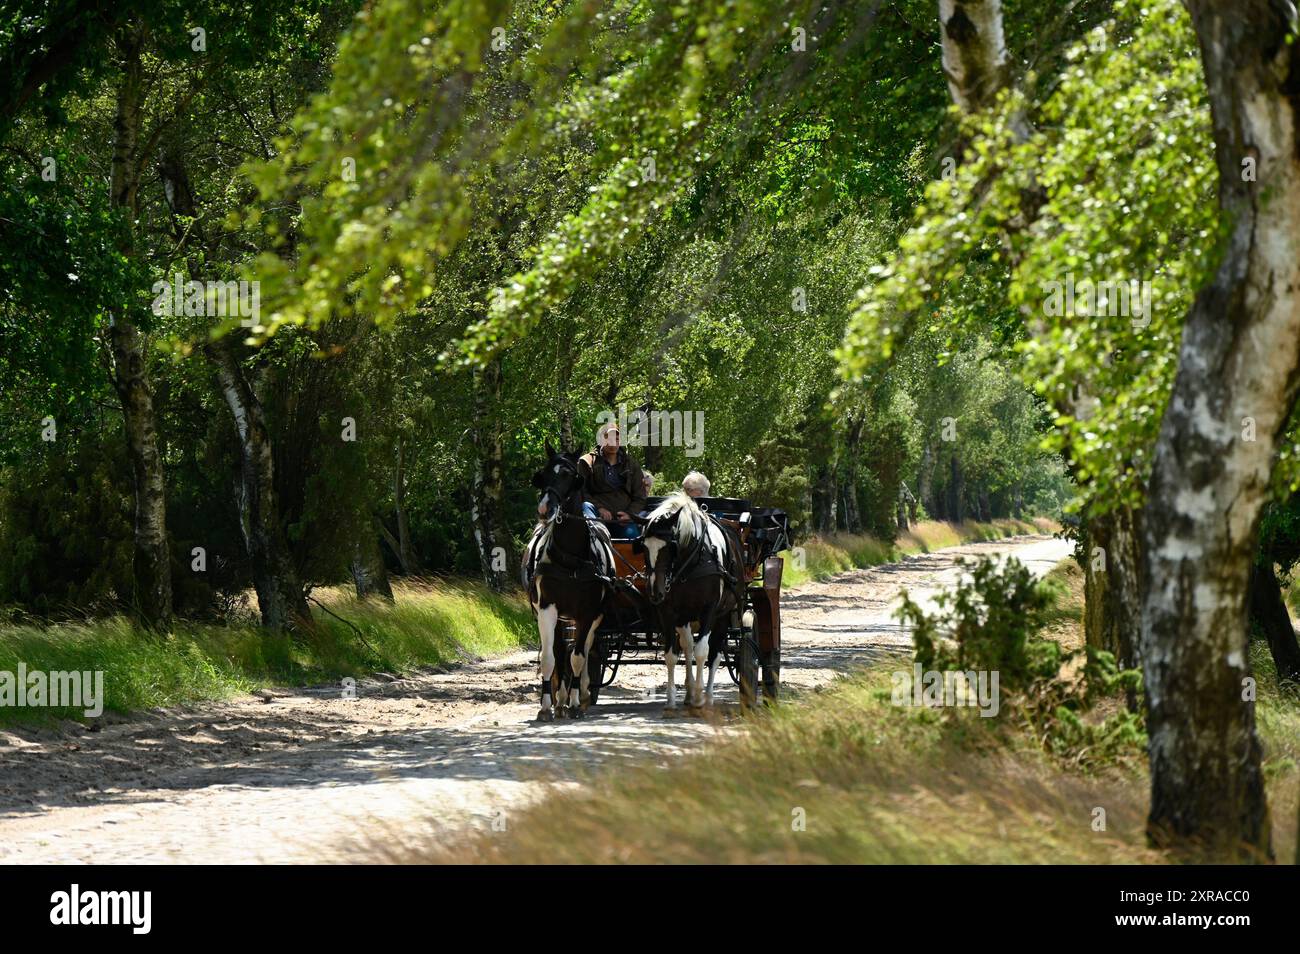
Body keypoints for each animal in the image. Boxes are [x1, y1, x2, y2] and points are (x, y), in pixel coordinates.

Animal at [520, 444, 616, 722]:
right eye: (543, 474)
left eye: (568, 475)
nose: (544, 509)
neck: (570, 558)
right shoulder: (546, 609)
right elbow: (551, 659)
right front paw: (546, 706)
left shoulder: (587, 613)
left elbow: (577, 658)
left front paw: (574, 702)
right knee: (562, 652)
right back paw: (560, 700)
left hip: (593, 619)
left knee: (583, 651)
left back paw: (579, 696)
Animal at [637, 493, 748, 712]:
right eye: (643, 547)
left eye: (670, 546)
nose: (655, 591)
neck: (691, 562)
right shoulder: (669, 612)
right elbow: (672, 654)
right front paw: (672, 699)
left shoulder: (709, 610)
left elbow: (702, 651)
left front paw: (699, 697)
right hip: (685, 615)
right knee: (687, 646)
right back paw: (689, 692)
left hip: (723, 615)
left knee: (714, 653)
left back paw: (708, 696)